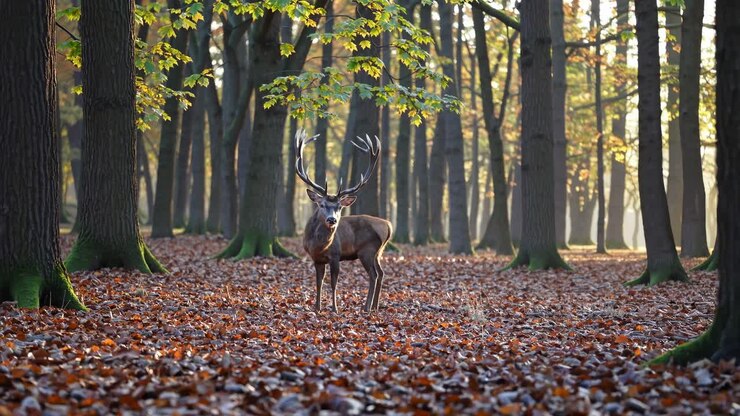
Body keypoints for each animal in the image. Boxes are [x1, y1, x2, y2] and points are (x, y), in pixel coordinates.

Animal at [295, 129, 393, 313]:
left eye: (339, 207)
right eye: (322, 204)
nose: (332, 219)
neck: (318, 245)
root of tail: (388, 226)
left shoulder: (335, 254)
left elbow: (334, 283)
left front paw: (334, 308)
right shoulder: (316, 259)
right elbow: (318, 283)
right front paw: (317, 307)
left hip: (367, 250)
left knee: (374, 274)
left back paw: (366, 307)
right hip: (378, 251)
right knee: (382, 272)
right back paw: (375, 306)